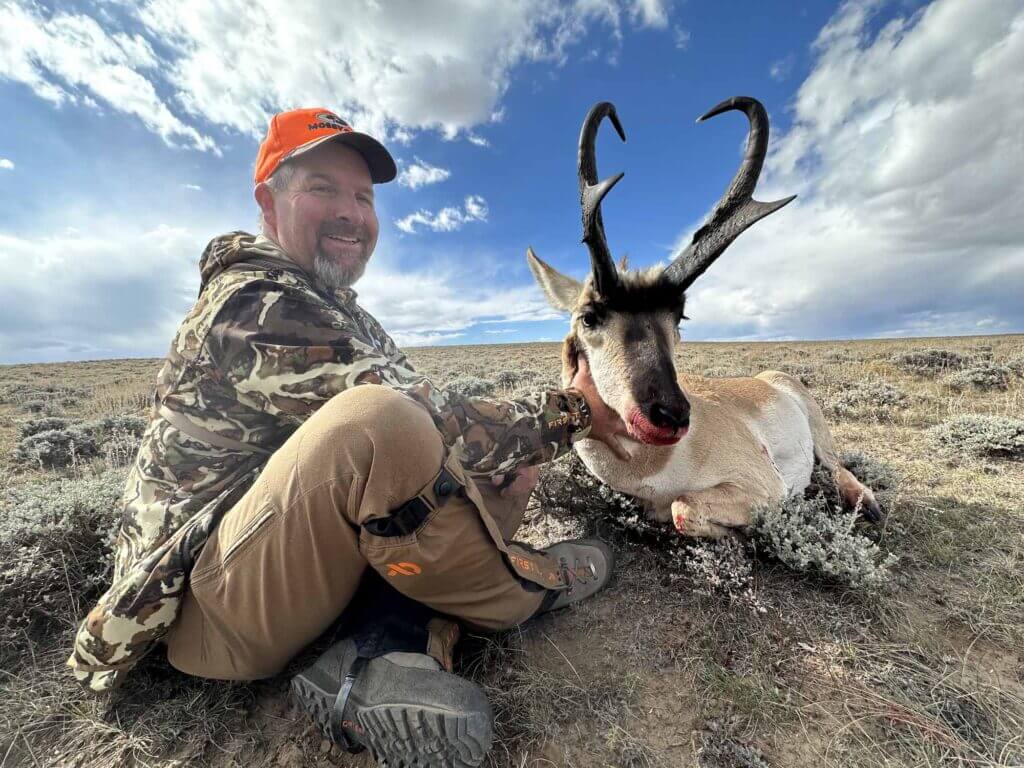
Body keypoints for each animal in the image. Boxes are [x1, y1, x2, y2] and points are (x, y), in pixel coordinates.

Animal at [528, 97, 882, 538]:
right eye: (589, 316)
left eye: (679, 316)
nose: (671, 415)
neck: (649, 471)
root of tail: (766, 378)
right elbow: (675, 510)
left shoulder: (766, 485)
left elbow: (681, 508)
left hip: (817, 425)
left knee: (835, 465)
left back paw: (867, 503)